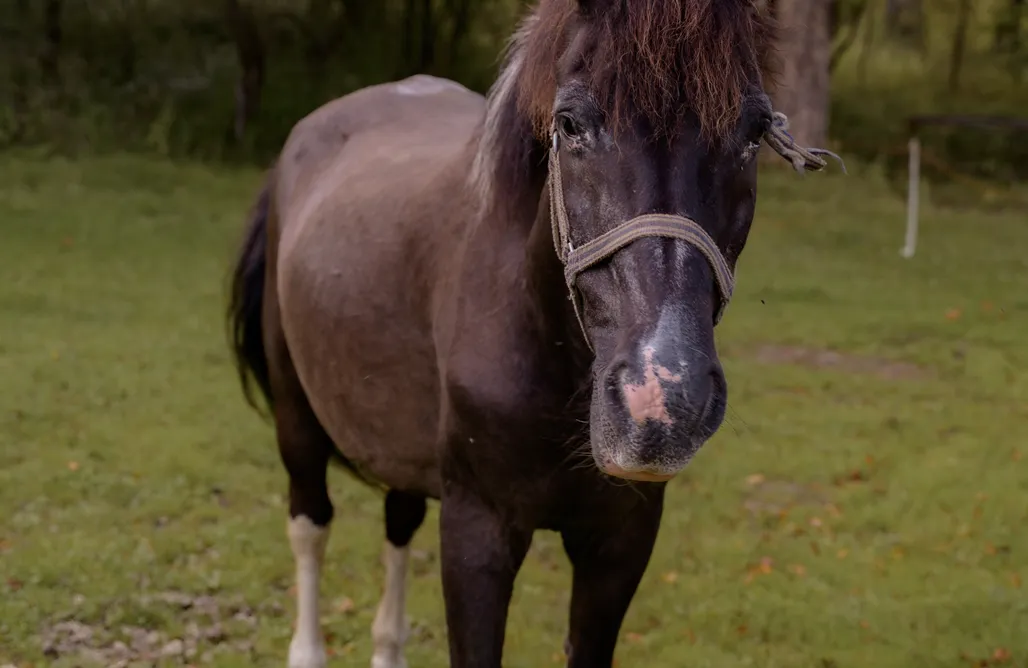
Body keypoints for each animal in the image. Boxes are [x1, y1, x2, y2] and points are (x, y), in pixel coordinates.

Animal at [226, 1, 837, 666]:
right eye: (570, 124)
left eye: (753, 132)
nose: (662, 401)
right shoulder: (477, 532)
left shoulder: (620, 541)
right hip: (297, 419)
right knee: (310, 525)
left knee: (398, 521)